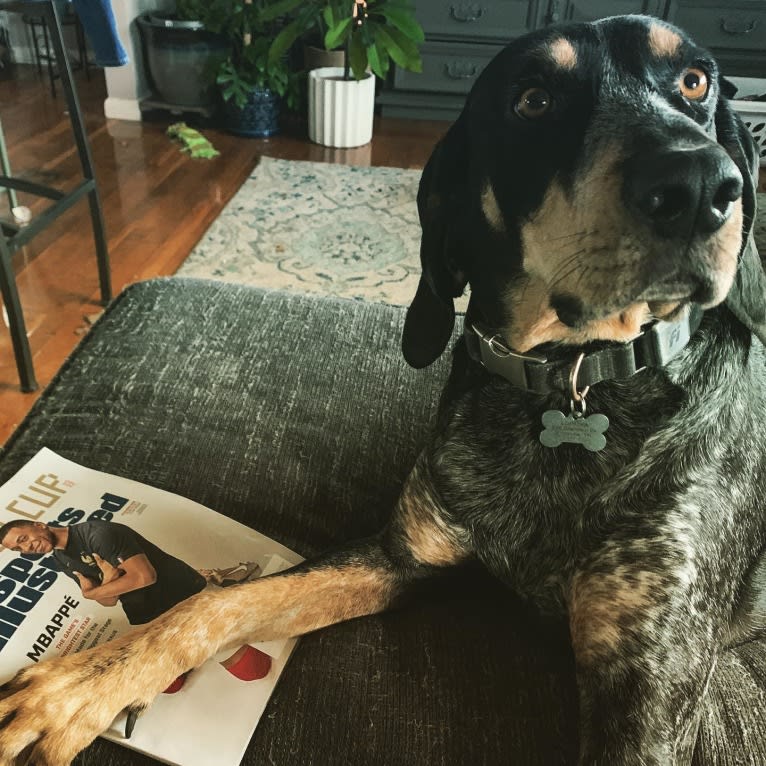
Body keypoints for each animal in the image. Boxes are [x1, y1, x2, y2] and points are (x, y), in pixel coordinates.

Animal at [1, 12, 766, 766]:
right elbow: (217, 603)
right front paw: (78, 687)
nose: (700, 185)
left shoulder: (646, 691)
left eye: (695, 81)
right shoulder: (398, 558)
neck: (566, 386)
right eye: (533, 100)